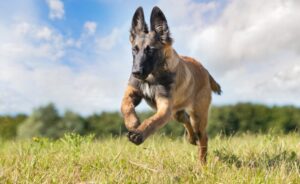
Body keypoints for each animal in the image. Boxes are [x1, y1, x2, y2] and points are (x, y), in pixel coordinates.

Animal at [120, 6, 221, 162]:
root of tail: (205, 70)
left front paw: (138, 133)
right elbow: (125, 106)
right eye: (134, 49)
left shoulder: (165, 107)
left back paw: (201, 163)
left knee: (203, 138)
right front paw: (133, 123)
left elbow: (152, 121)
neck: (152, 76)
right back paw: (191, 138)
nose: (136, 72)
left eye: (150, 50)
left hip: (197, 116)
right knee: (185, 119)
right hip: (177, 113)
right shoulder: (132, 92)